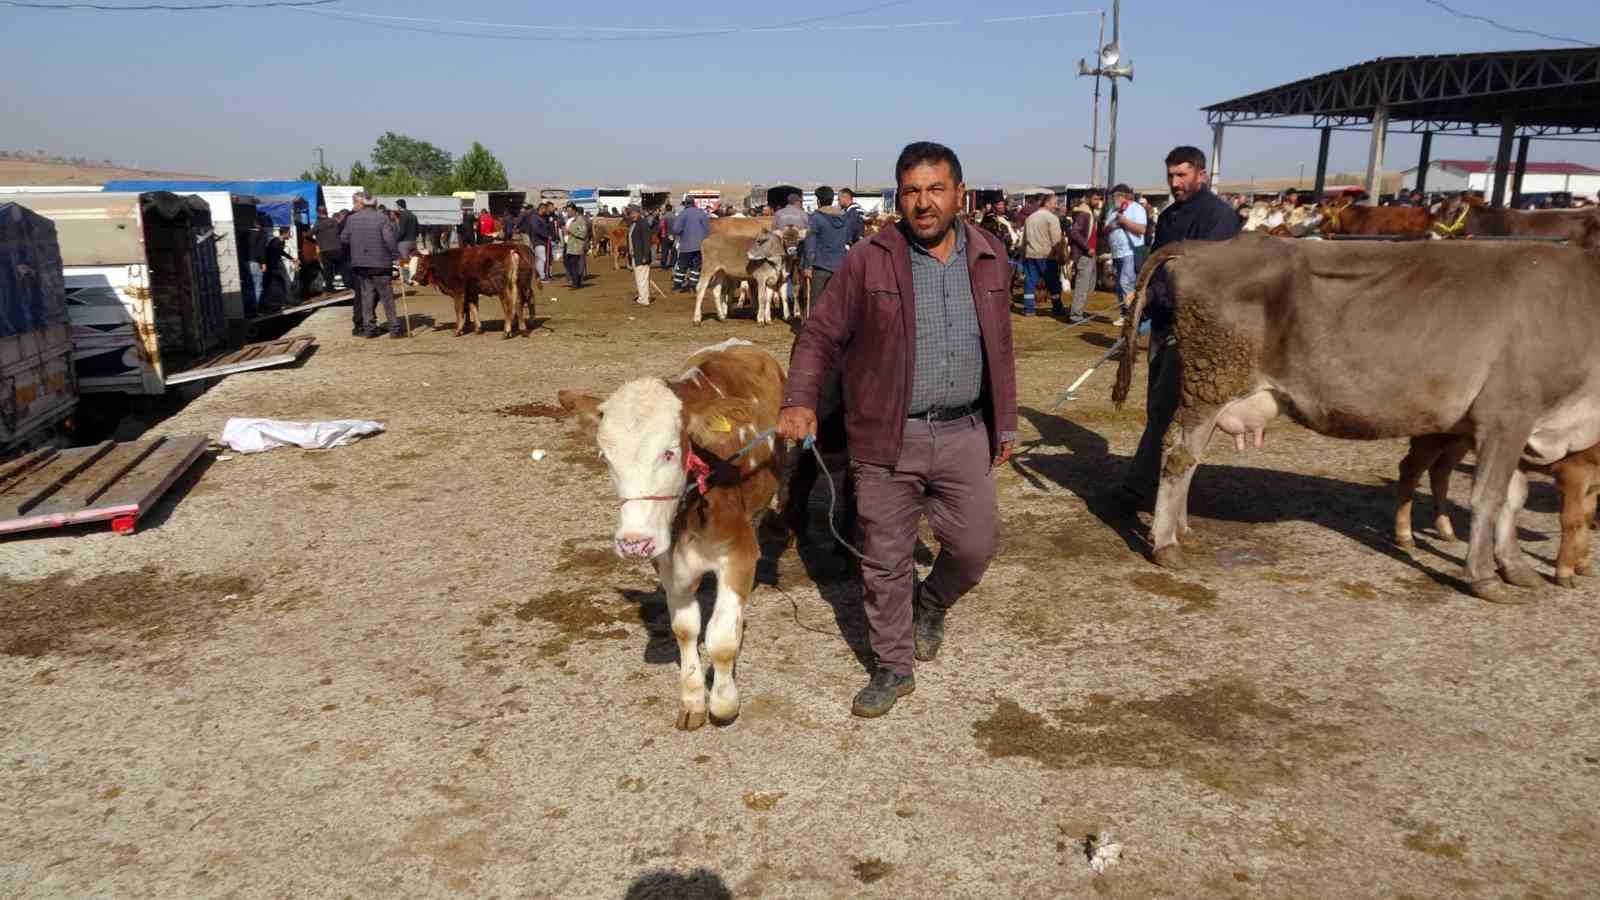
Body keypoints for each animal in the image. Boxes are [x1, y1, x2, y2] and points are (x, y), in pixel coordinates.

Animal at [560, 337, 790, 730]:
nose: (634, 542)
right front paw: (693, 700)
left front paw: (723, 704)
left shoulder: (738, 552)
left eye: (669, 452)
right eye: (605, 457)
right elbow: (685, 628)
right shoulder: (668, 561)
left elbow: (722, 638)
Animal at [1388, 435, 1600, 589]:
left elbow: (1586, 517)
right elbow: (1572, 521)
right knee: (1410, 469)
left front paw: (1583, 564)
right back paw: (1405, 535)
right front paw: (1565, 573)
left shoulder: (1593, 481)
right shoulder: (1573, 472)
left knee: (1440, 471)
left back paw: (1446, 531)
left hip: (1458, 443)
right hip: (1431, 437)